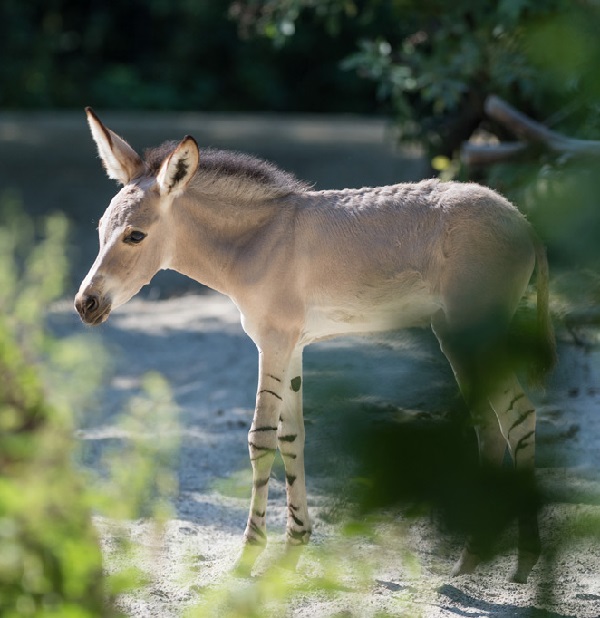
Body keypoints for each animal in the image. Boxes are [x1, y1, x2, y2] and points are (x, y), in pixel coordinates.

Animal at [77, 108, 556, 580]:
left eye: (135, 236)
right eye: (100, 228)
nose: (85, 304)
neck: (257, 244)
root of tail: (523, 221)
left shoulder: (273, 343)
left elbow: (261, 438)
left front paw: (249, 554)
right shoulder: (294, 348)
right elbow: (293, 436)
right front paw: (294, 545)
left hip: (469, 333)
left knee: (511, 419)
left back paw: (502, 558)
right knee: (498, 422)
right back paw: (497, 557)